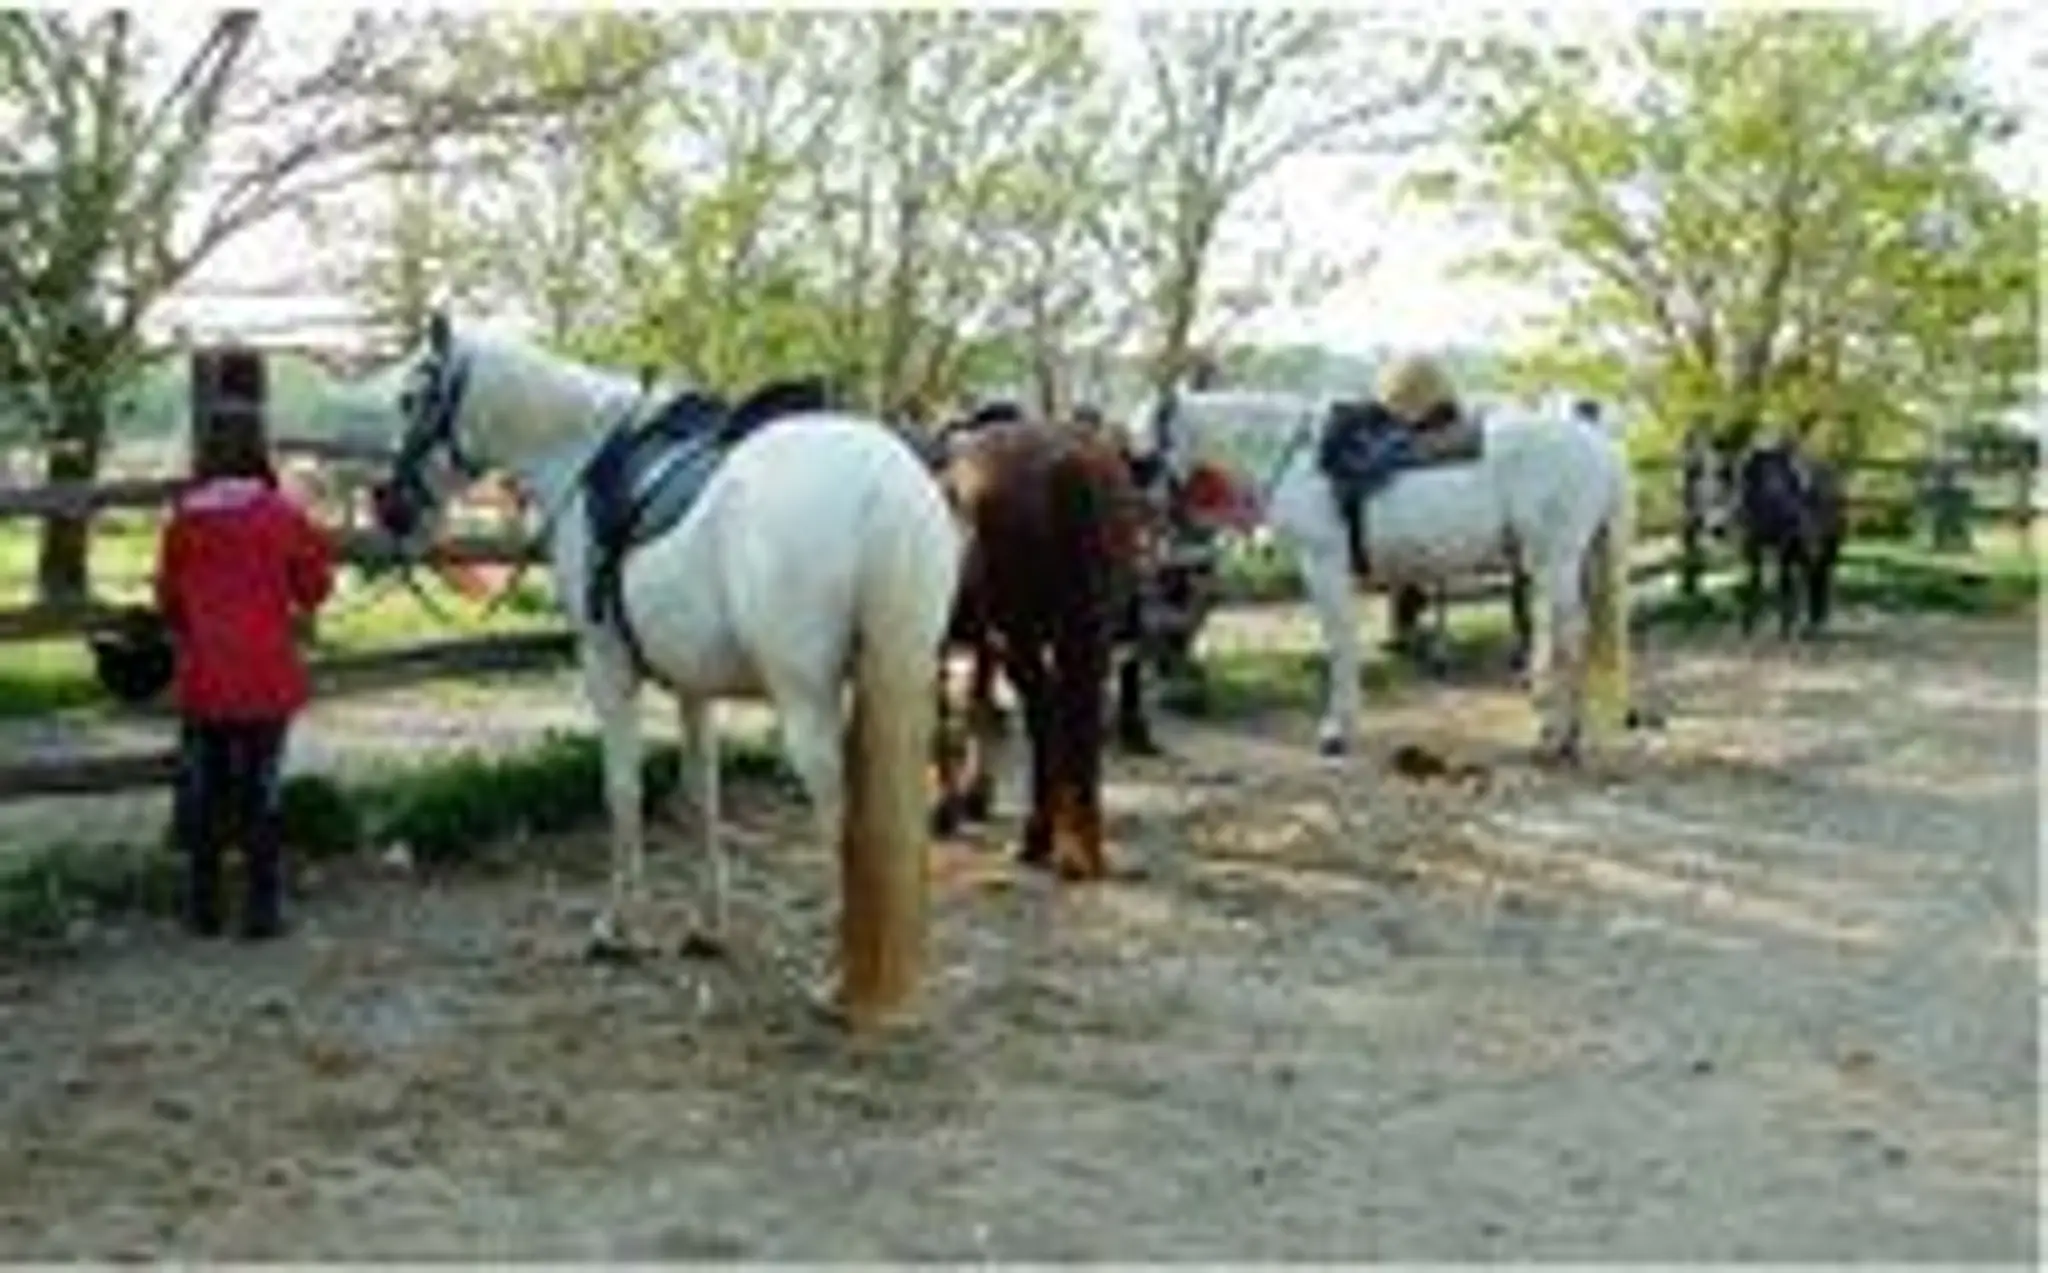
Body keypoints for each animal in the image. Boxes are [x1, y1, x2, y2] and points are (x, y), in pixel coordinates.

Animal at [368, 313, 962, 1030]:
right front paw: (708, 928)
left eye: (411, 398)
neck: (582, 455)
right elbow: (701, 794)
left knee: (841, 821)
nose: (390, 506)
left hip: (807, 703)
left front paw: (615, 930)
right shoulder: (694, 686)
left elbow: (622, 791)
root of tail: (885, 483)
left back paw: (836, 981)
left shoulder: (606, 666)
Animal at [926, 413, 1149, 879]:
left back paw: (1040, 840)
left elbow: (943, 717)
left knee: (1045, 716)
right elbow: (978, 705)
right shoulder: (983, 642)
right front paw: (974, 797)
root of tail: (1069, 465)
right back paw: (1081, 845)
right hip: (1086, 629)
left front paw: (945, 809)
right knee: (1077, 713)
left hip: (1021, 635)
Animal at [1115, 386, 1635, 762]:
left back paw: (1554, 738)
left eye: (1143, 453)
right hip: (1566, 561)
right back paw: (1565, 736)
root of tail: (1598, 443)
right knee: (1571, 637)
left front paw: (1335, 732)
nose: (1145, 521)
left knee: (1565, 639)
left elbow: (1339, 643)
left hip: (1555, 560)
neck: (1299, 459)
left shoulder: (1324, 565)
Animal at [1689, 435, 1845, 639]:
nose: (1716, 529)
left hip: (1827, 540)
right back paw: (1812, 619)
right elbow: (1754, 581)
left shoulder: (1787, 542)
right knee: (1813, 573)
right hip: (1806, 546)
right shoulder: (1752, 545)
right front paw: (1748, 624)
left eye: (1724, 491)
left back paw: (1815, 620)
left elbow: (1784, 584)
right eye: (1702, 496)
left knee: (1821, 571)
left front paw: (1785, 627)